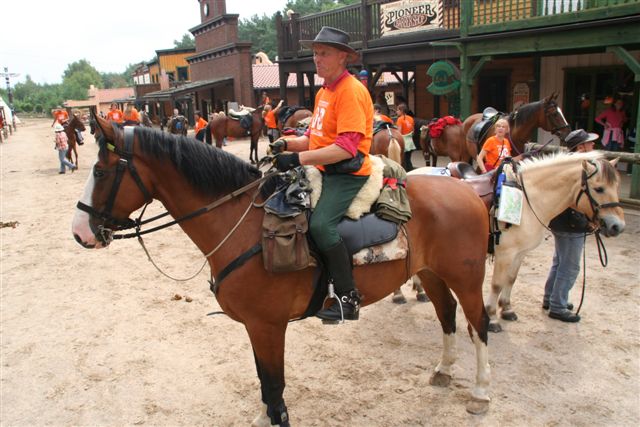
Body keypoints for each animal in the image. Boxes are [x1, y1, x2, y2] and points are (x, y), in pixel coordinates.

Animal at [72, 114, 493, 424]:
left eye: (101, 171)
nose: (80, 233)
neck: (241, 225)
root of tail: (467, 189)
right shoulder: (256, 328)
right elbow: (264, 381)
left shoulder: (267, 325)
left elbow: (274, 385)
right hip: (431, 273)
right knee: (447, 315)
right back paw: (443, 370)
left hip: (466, 278)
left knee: (478, 324)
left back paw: (480, 392)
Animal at [482, 152, 625, 332]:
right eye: (599, 188)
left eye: (616, 186)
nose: (618, 226)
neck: (527, 202)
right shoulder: (505, 254)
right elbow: (496, 284)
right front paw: (492, 318)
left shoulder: (520, 253)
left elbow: (511, 279)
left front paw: (507, 309)